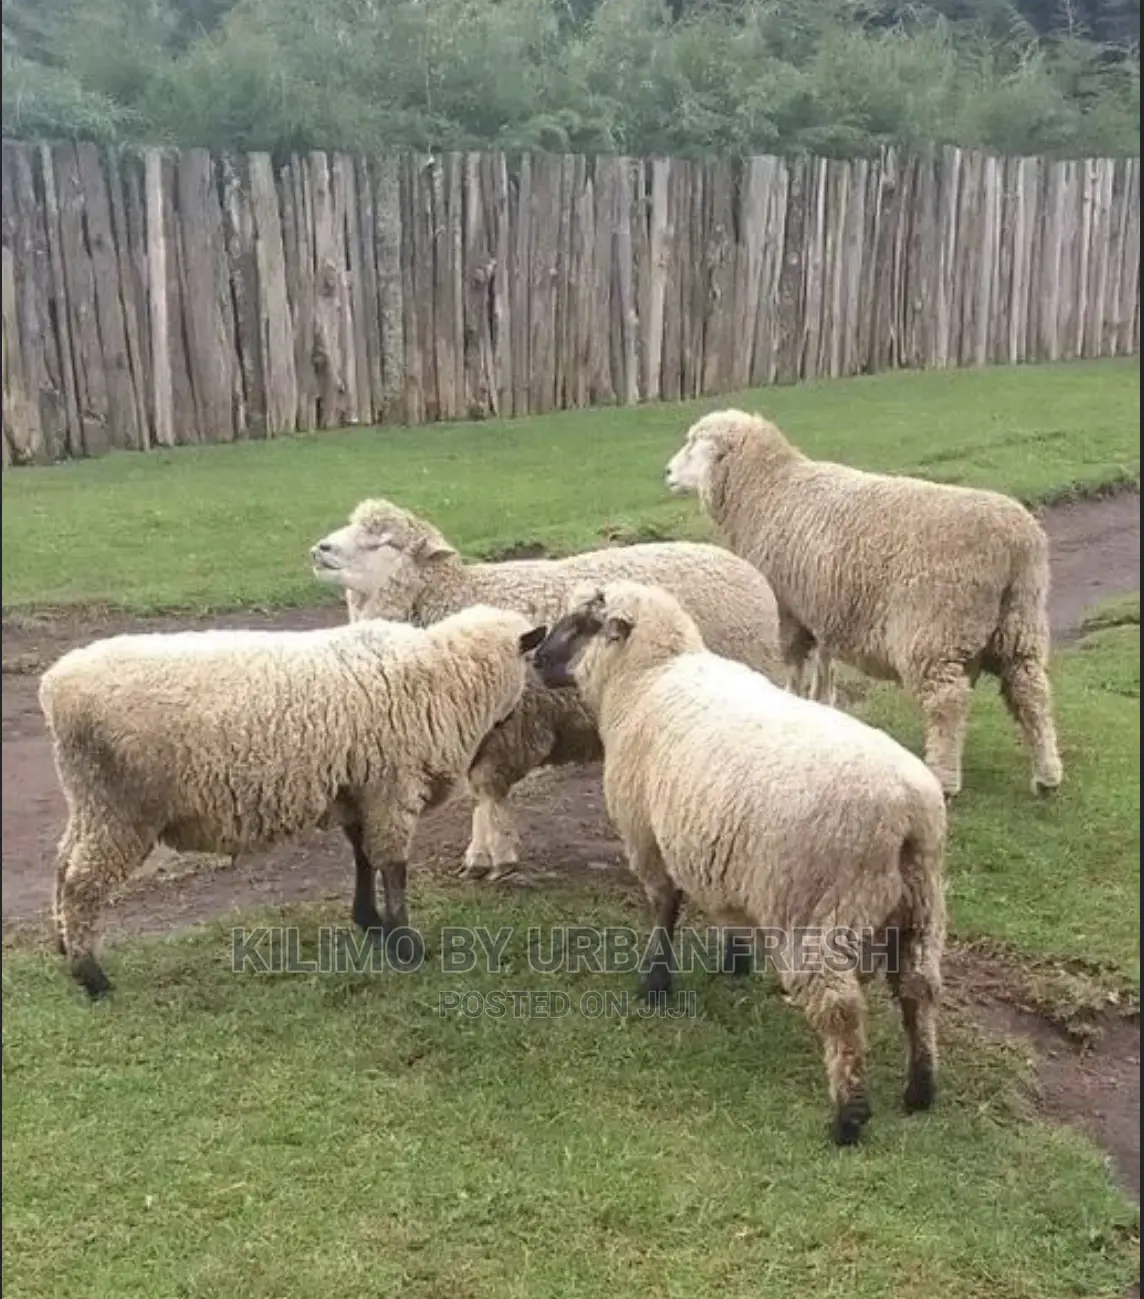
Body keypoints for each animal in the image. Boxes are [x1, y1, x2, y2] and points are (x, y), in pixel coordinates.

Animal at [39, 607, 546, 999]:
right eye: (531, 659)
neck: (446, 677)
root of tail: (54, 687)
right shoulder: (392, 789)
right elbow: (393, 866)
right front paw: (405, 944)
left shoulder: (358, 789)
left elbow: (363, 858)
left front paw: (371, 923)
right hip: (121, 807)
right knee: (82, 882)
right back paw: (92, 976)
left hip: (89, 798)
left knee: (63, 864)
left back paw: (63, 943)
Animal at [310, 497, 785, 880]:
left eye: (385, 542)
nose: (320, 549)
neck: (455, 600)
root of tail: (746, 570)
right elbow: (478, 793)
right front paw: (479, 855)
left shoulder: (512, 726)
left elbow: (487, 789)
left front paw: (498, 855)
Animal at [529, 579, 948, 1146]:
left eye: (582, 624)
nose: (535, 658)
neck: (648, 677)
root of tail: (907, 811)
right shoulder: (726, 854)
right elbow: (727, 914)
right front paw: (735, 961)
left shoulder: (648, 839)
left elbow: (664, 910)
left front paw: (654, 985)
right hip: (921, 904)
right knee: (918, 988)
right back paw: (920, 1089)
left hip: (819, 909)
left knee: (839, 1007)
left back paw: (849, 1117)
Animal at [665, 409, 1064, 799]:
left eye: (694, 444)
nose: (666, 473)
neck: (769, 490)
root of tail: (1016, 544)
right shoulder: (824, 608)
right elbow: (825, 663)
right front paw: (822, 703)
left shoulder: (787, 608)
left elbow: (793, 664)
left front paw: (794, 700)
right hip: (1020, 624)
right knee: (1030, 691)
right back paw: (1046, 776)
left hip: (937, 631)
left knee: (948, 702)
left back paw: (945, 780)